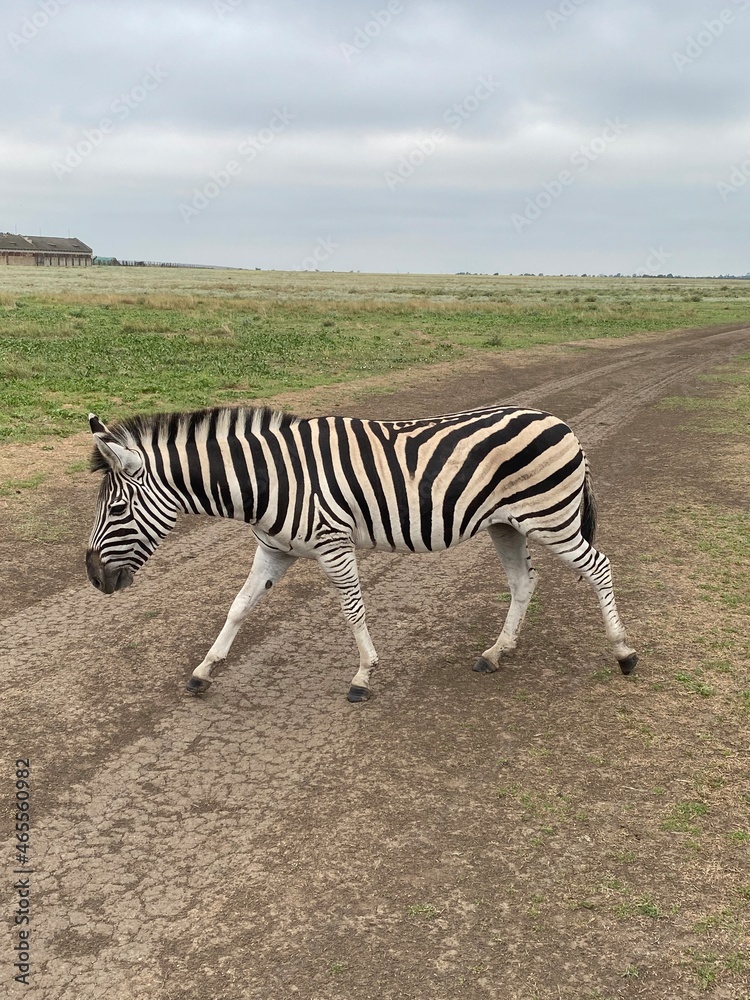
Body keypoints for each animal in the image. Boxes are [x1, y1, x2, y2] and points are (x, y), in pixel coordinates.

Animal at [86, 404, 637, 702]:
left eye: (116, 508)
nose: (93, 577)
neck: (268, 480)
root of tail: (560, 421)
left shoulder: (334, 543)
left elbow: (353, 610)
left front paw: (363, 675)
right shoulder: (274, 550)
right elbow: (239, 607)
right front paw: (204, 670)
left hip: (552, 519)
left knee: (600, 567)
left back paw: (624, 653)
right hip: (507, 525)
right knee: (524, 583)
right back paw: (495, 653)